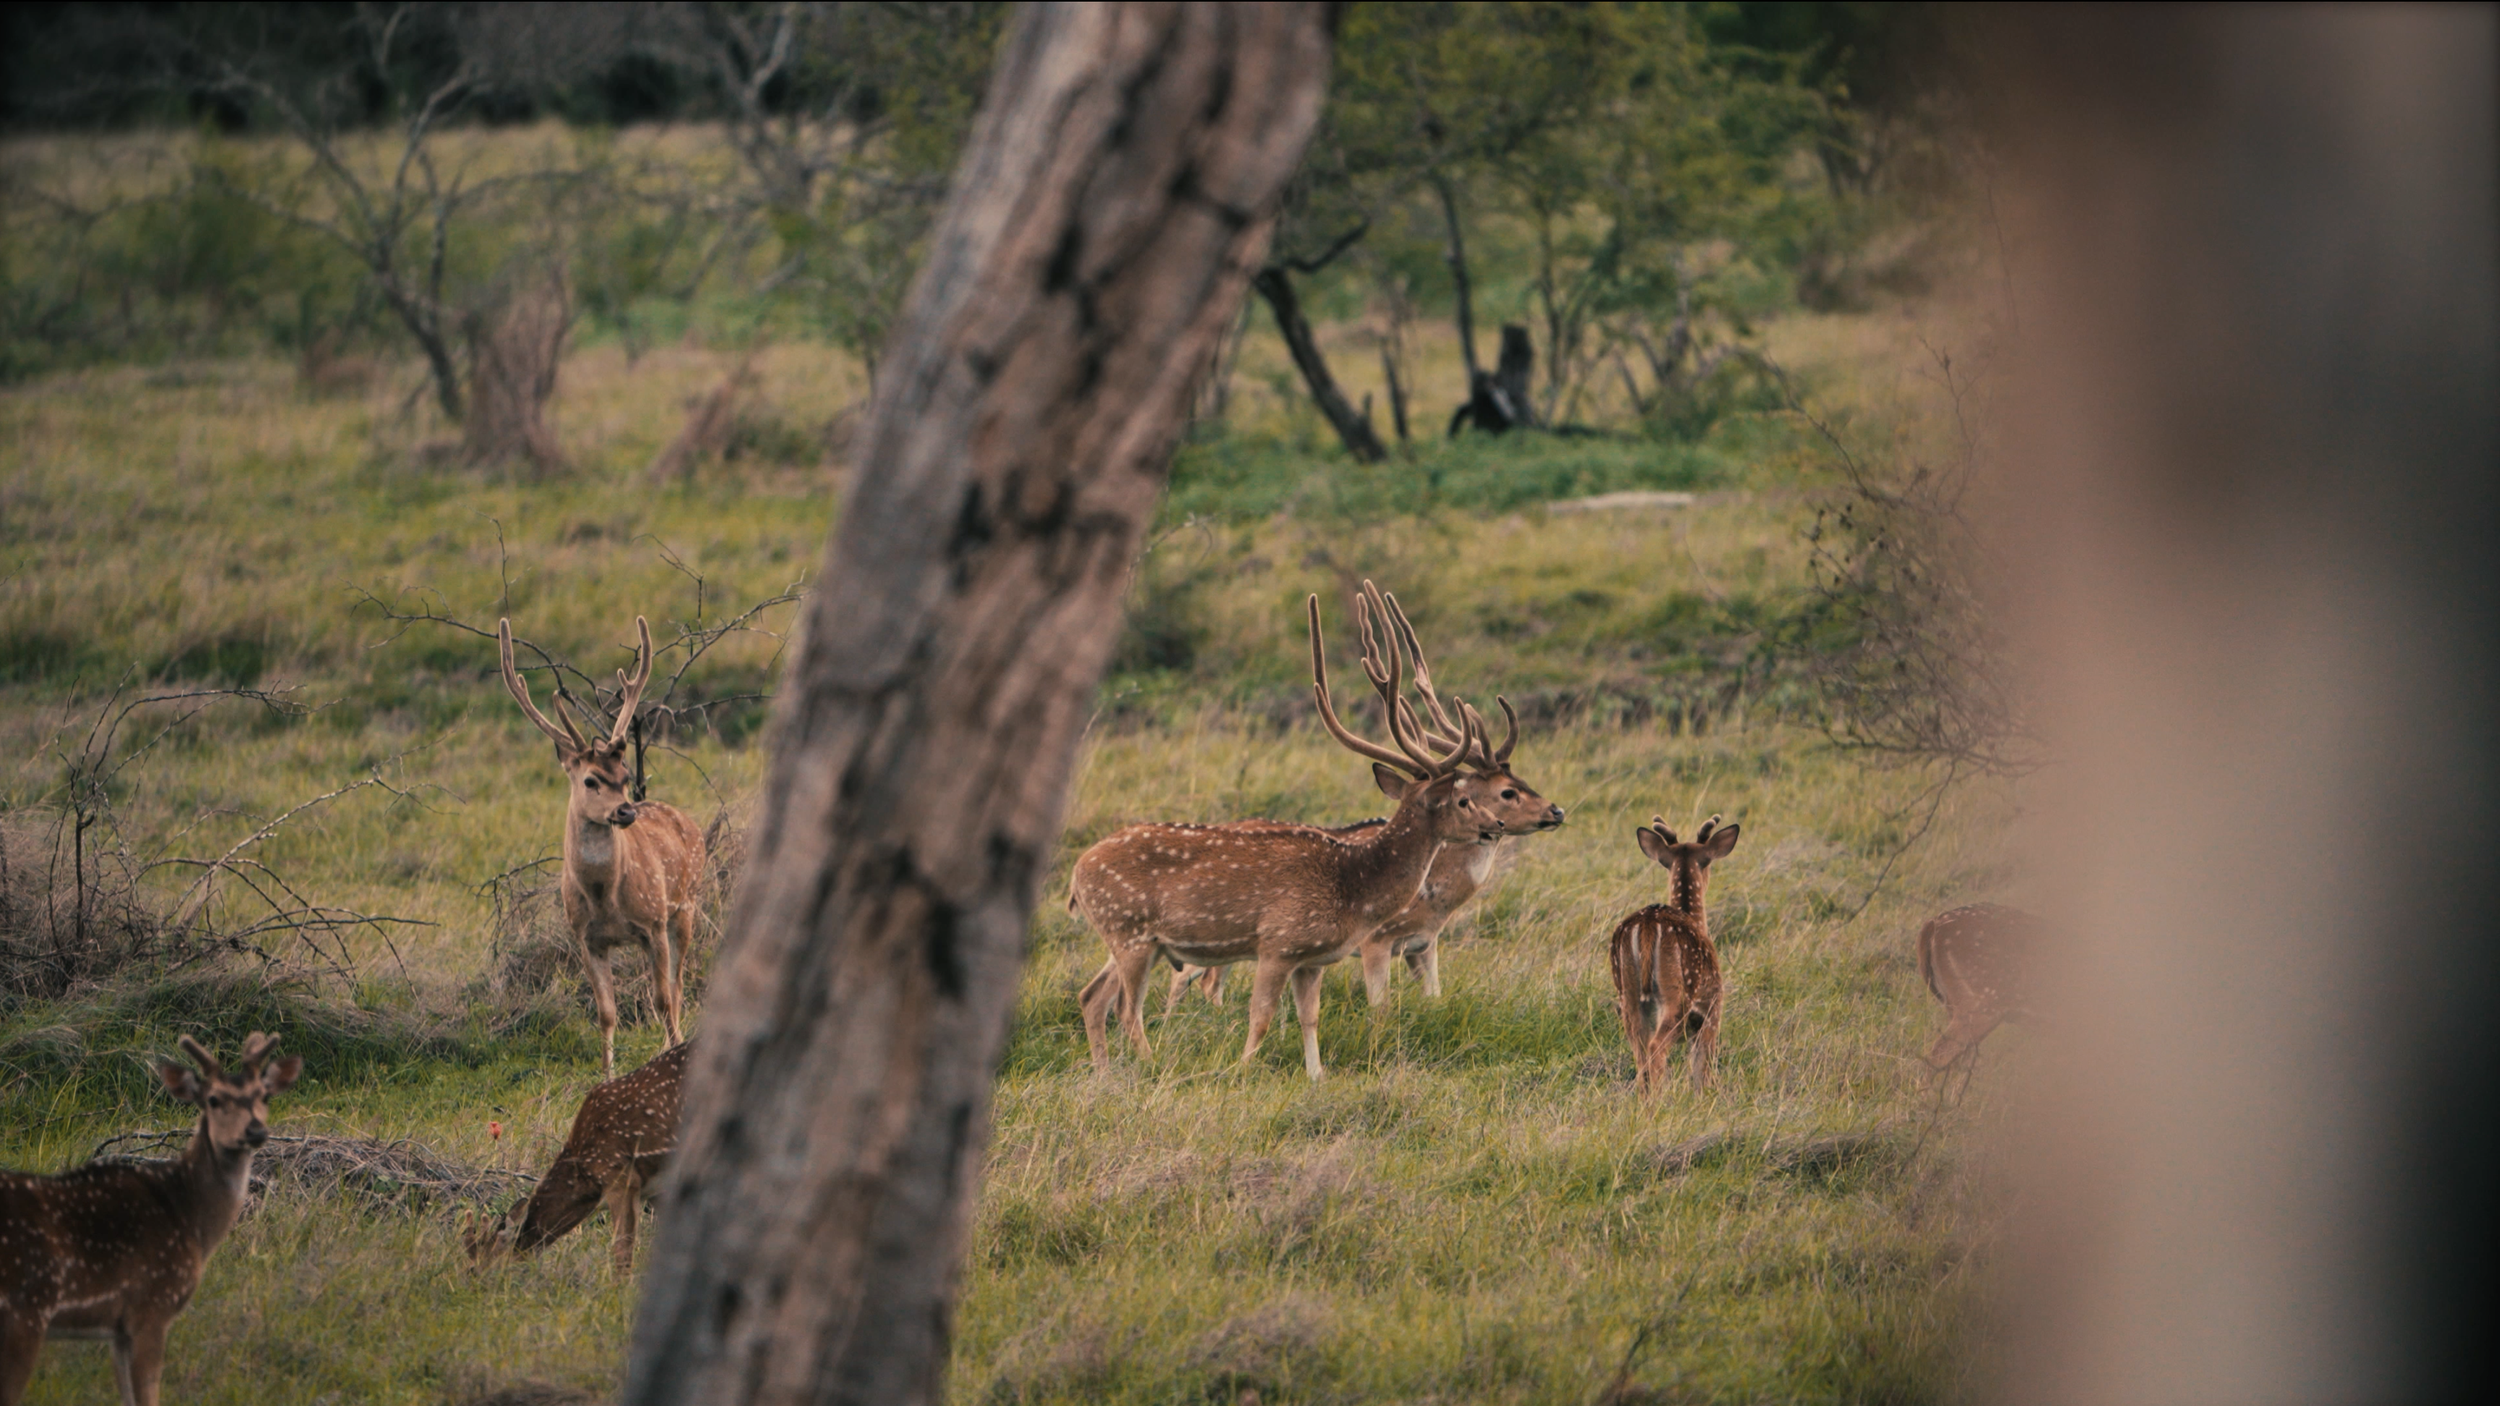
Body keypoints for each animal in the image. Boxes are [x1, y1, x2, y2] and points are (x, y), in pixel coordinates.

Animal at [0, 1033, 302, 1406]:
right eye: (213, 1099)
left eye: (264, 1095)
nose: (255, 1130)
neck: (189, 1219)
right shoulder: (152, 1303)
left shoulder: (117, 1328)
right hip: (26, 1308)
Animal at [465, 1039, 689, 1283]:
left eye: (483, 1264)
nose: (471, 1280)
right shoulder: (656, 1187)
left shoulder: (619, 1175)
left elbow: (622, 1250)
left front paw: (620, 1288)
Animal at [499, 615, 708, 1076]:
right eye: (591, 780)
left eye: (626, 775)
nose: (626, 811)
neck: (603, 895)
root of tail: (689, 821)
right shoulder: (586, 937)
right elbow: (606, 1013)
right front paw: (607, 1073)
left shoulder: (652, 922)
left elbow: (661, 1000)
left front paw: (669, 1059)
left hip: (685, 905)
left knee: (678, 987)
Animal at [1162, 593, 1563, 1010]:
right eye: (1507, 792)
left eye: (1523, 781)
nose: (1557, 811)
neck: (1437, 897)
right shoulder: (1377, 939)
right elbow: (1379, 1004)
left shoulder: (1424, 944)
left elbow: (1434, 997)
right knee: (1190, 979)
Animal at [1609, 814, 1741, 1094]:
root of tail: (1647, 926)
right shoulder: (1713, 1007)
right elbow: (1703, 1067)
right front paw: (1706, 1095)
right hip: (1677, 994)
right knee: (1655, 1049)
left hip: (1627, 994)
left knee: (1640, 1053)